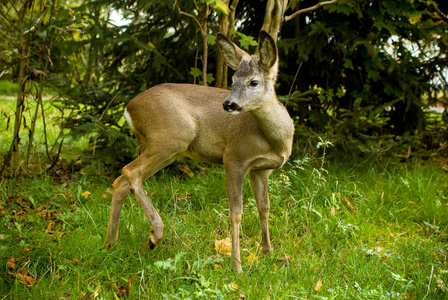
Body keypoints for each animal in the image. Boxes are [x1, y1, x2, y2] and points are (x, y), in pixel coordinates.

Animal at [105, 29, 294, 272]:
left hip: (163, 148)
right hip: (171, 136)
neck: (275, 140)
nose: (228, 104)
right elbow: (236, 212)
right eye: (232, 80)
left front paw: (269, 255)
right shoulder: (234, 158)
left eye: (253, 82)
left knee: (121, 181)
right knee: (130, 172)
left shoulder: (261, 170)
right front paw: (237, 266)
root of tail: (128, 108)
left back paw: (111, 244)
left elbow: (264, 208)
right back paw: (155, 234)